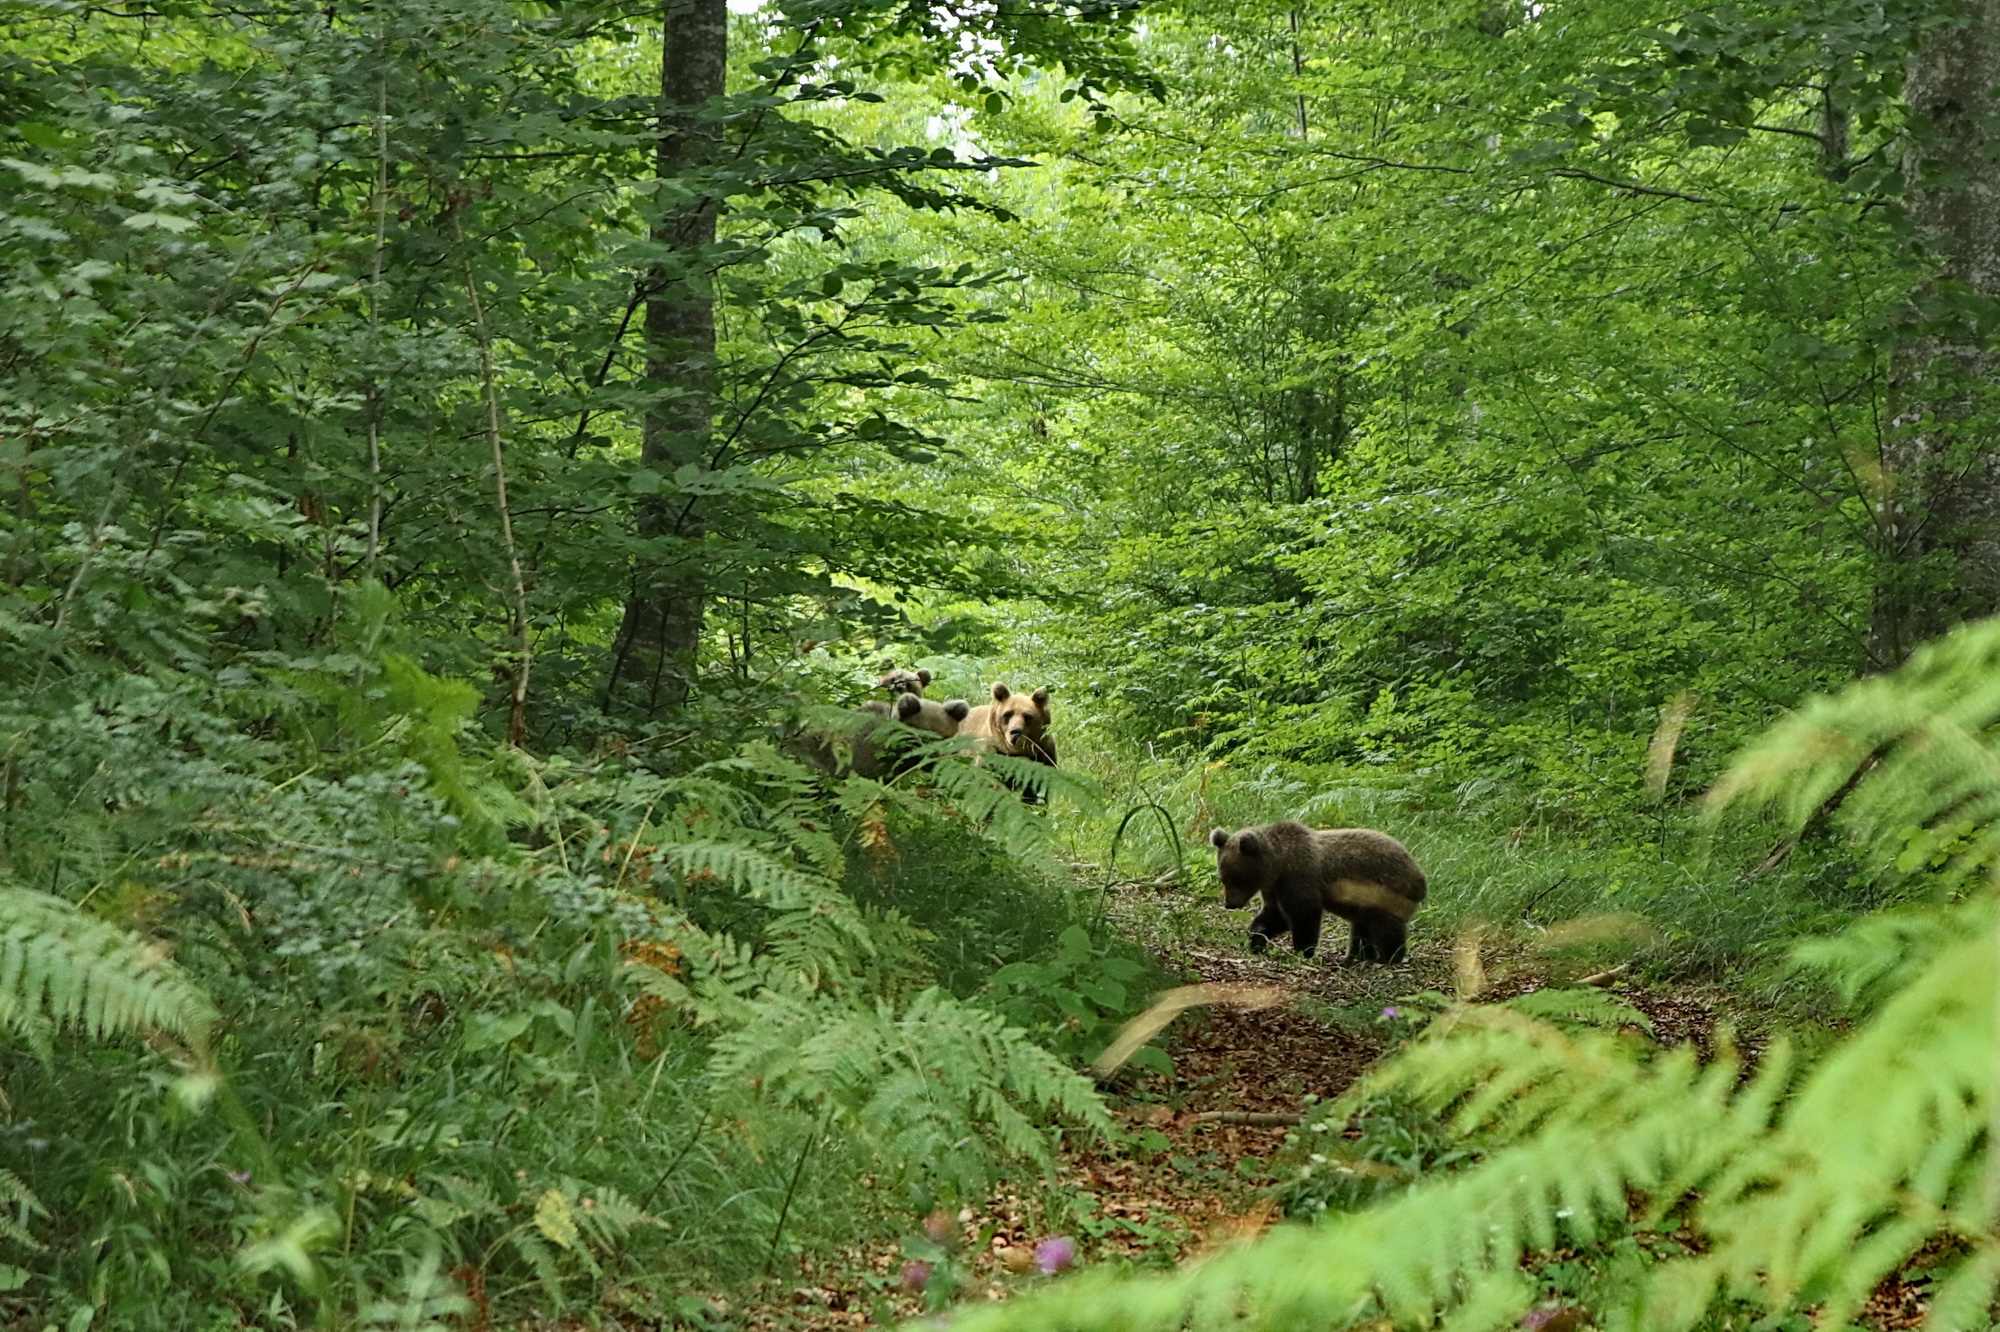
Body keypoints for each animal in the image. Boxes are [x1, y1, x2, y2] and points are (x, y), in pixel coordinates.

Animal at [1200, 816, 1424, 960]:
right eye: (1223, 878)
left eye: (1239, 879)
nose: (1230, 904)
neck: (1278, 864)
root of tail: (1420, 877)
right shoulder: (1275, 887)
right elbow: (1275, 915)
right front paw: (1257, 937)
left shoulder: (1298, 877)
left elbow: (1304, 913)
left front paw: (1302, 950)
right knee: (1361, 928)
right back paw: (1356, 957)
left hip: (1385, 894)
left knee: (1385, 928)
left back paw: (1387, 957)